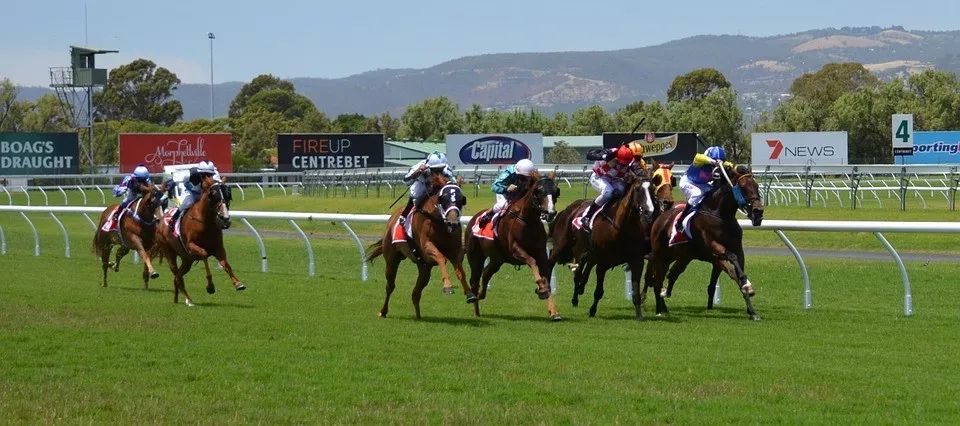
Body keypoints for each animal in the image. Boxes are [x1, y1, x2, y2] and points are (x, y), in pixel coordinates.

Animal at [151, 177, 246, 306]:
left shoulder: (218, 248)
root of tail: (161, 221)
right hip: (169, 253)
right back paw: (188, 300)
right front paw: (210, 286)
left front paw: (238, 283)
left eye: (228, 195)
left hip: (187, 260)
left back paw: (177, 299)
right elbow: (204, 255)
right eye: (213, 196)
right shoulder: (192, 246)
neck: (206, 222)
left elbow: (225, 264)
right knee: (177, 275)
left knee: (177, 277)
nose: (225, 219)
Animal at [366, 175, 470, 318]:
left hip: (424, 268)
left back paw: (418, 315)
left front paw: (470, 293)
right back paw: (383, 311)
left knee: (416, 293)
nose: (453, 222)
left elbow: (460, 270)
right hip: (392, 259)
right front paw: (448, 286)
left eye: (461, 199)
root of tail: (391, 220)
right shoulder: (427, 249)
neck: (438, 220)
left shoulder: (454, 250)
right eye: (443, 198)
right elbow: (441, 257)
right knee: (390, 286)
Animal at [464, 172, 564, 320]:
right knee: (475, 281)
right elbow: (531, 261)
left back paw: (481, 295)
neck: (528, 221)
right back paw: (475, 306)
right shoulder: (516, 250)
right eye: (539, 191)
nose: (550, 213)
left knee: (486, 273)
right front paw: (541, 288)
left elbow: (546, 277)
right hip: (475, 257)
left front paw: (553, 310)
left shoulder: (541, 253)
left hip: (497, 260)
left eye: (556, 191)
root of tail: (472, 220)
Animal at [644, 163, 764, 320]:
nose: (758, 211)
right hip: (661, 257)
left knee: (673, 273)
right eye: (743, 187)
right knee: (658, 281)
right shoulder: (714, 248)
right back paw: (659, 309)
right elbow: (732, 259)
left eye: (756, 186)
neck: (721, 216)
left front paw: (752, 310)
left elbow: (737, 272)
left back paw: (665, 297)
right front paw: (747, 287)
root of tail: (660, 218)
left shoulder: (737, 249)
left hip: (682, 257)